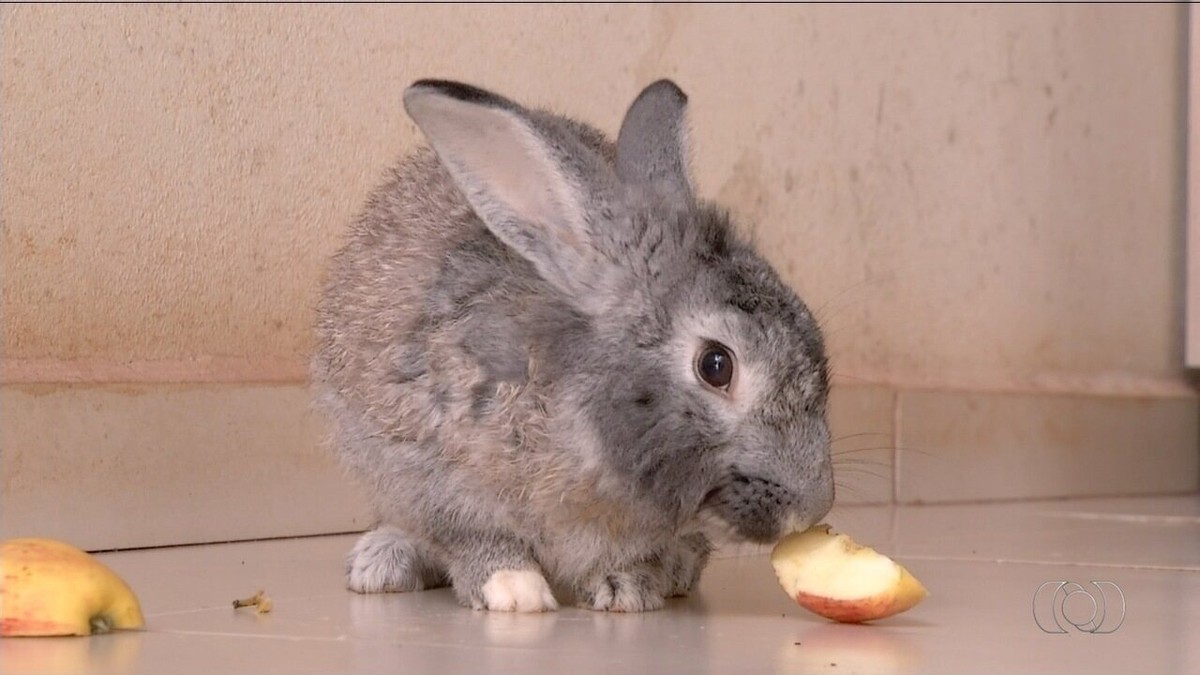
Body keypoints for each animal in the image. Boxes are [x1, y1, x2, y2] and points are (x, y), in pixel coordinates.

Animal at [309, 77, 835, 610]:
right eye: (715, 365)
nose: (813, 506)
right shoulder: (432, 473)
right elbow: (474, 538)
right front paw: (515, 591)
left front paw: (628, 589)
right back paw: (381, 563)